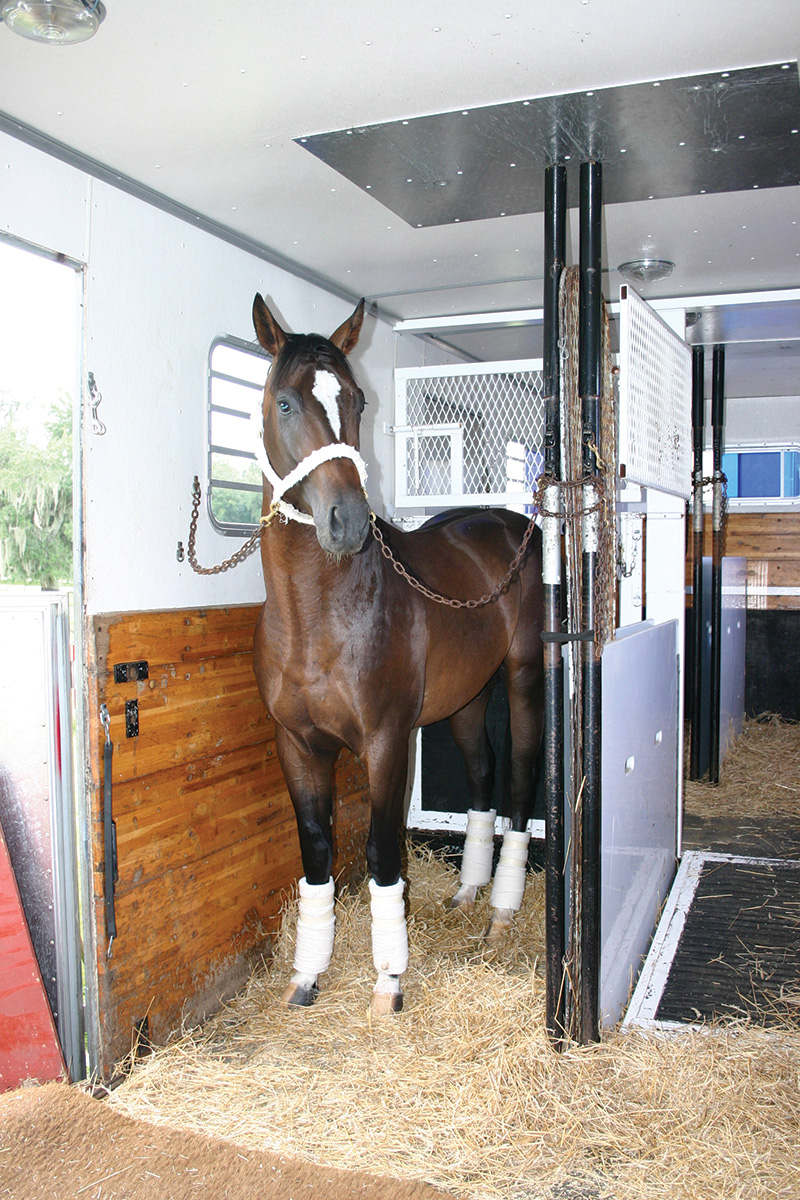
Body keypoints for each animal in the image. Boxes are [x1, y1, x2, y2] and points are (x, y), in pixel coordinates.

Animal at [253, 292, 546, 1012]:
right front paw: (307, 973)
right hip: (465, 698)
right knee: (481, 773)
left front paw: (389, 979)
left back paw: (502, 909)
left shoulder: (386, 741)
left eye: (357, 400)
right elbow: (317, 850)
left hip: (523, 676)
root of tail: (512, 523)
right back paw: (468, 890)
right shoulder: (297, 744)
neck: (318, 618)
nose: (348, 522)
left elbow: (383, 852)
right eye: (285, 403)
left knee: (520, 776)